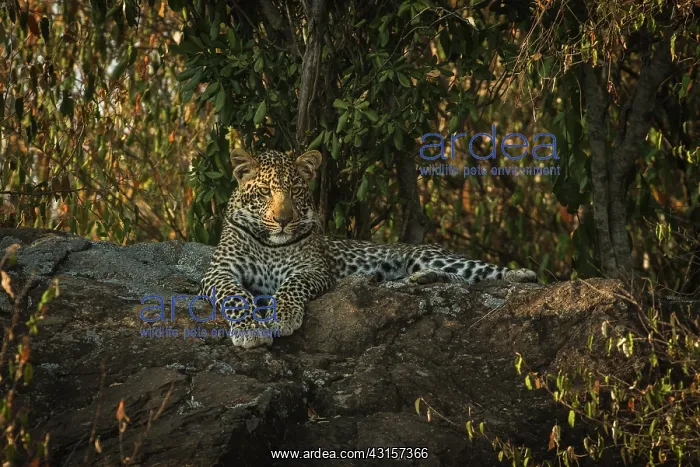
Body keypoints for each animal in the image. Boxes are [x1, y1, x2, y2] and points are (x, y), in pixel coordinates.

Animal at [199, 148, 538, 348]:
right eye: (265, 192)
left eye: (295, 191)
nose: (283, 220)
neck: (271, 243)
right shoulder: (218, 273)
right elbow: (236, 296)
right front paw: (250, 330)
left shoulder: (313, 270)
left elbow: (290, 287)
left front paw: (282, 317)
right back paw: (420, 280)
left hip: (427, 254)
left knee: (484, 273)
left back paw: (521, 275)